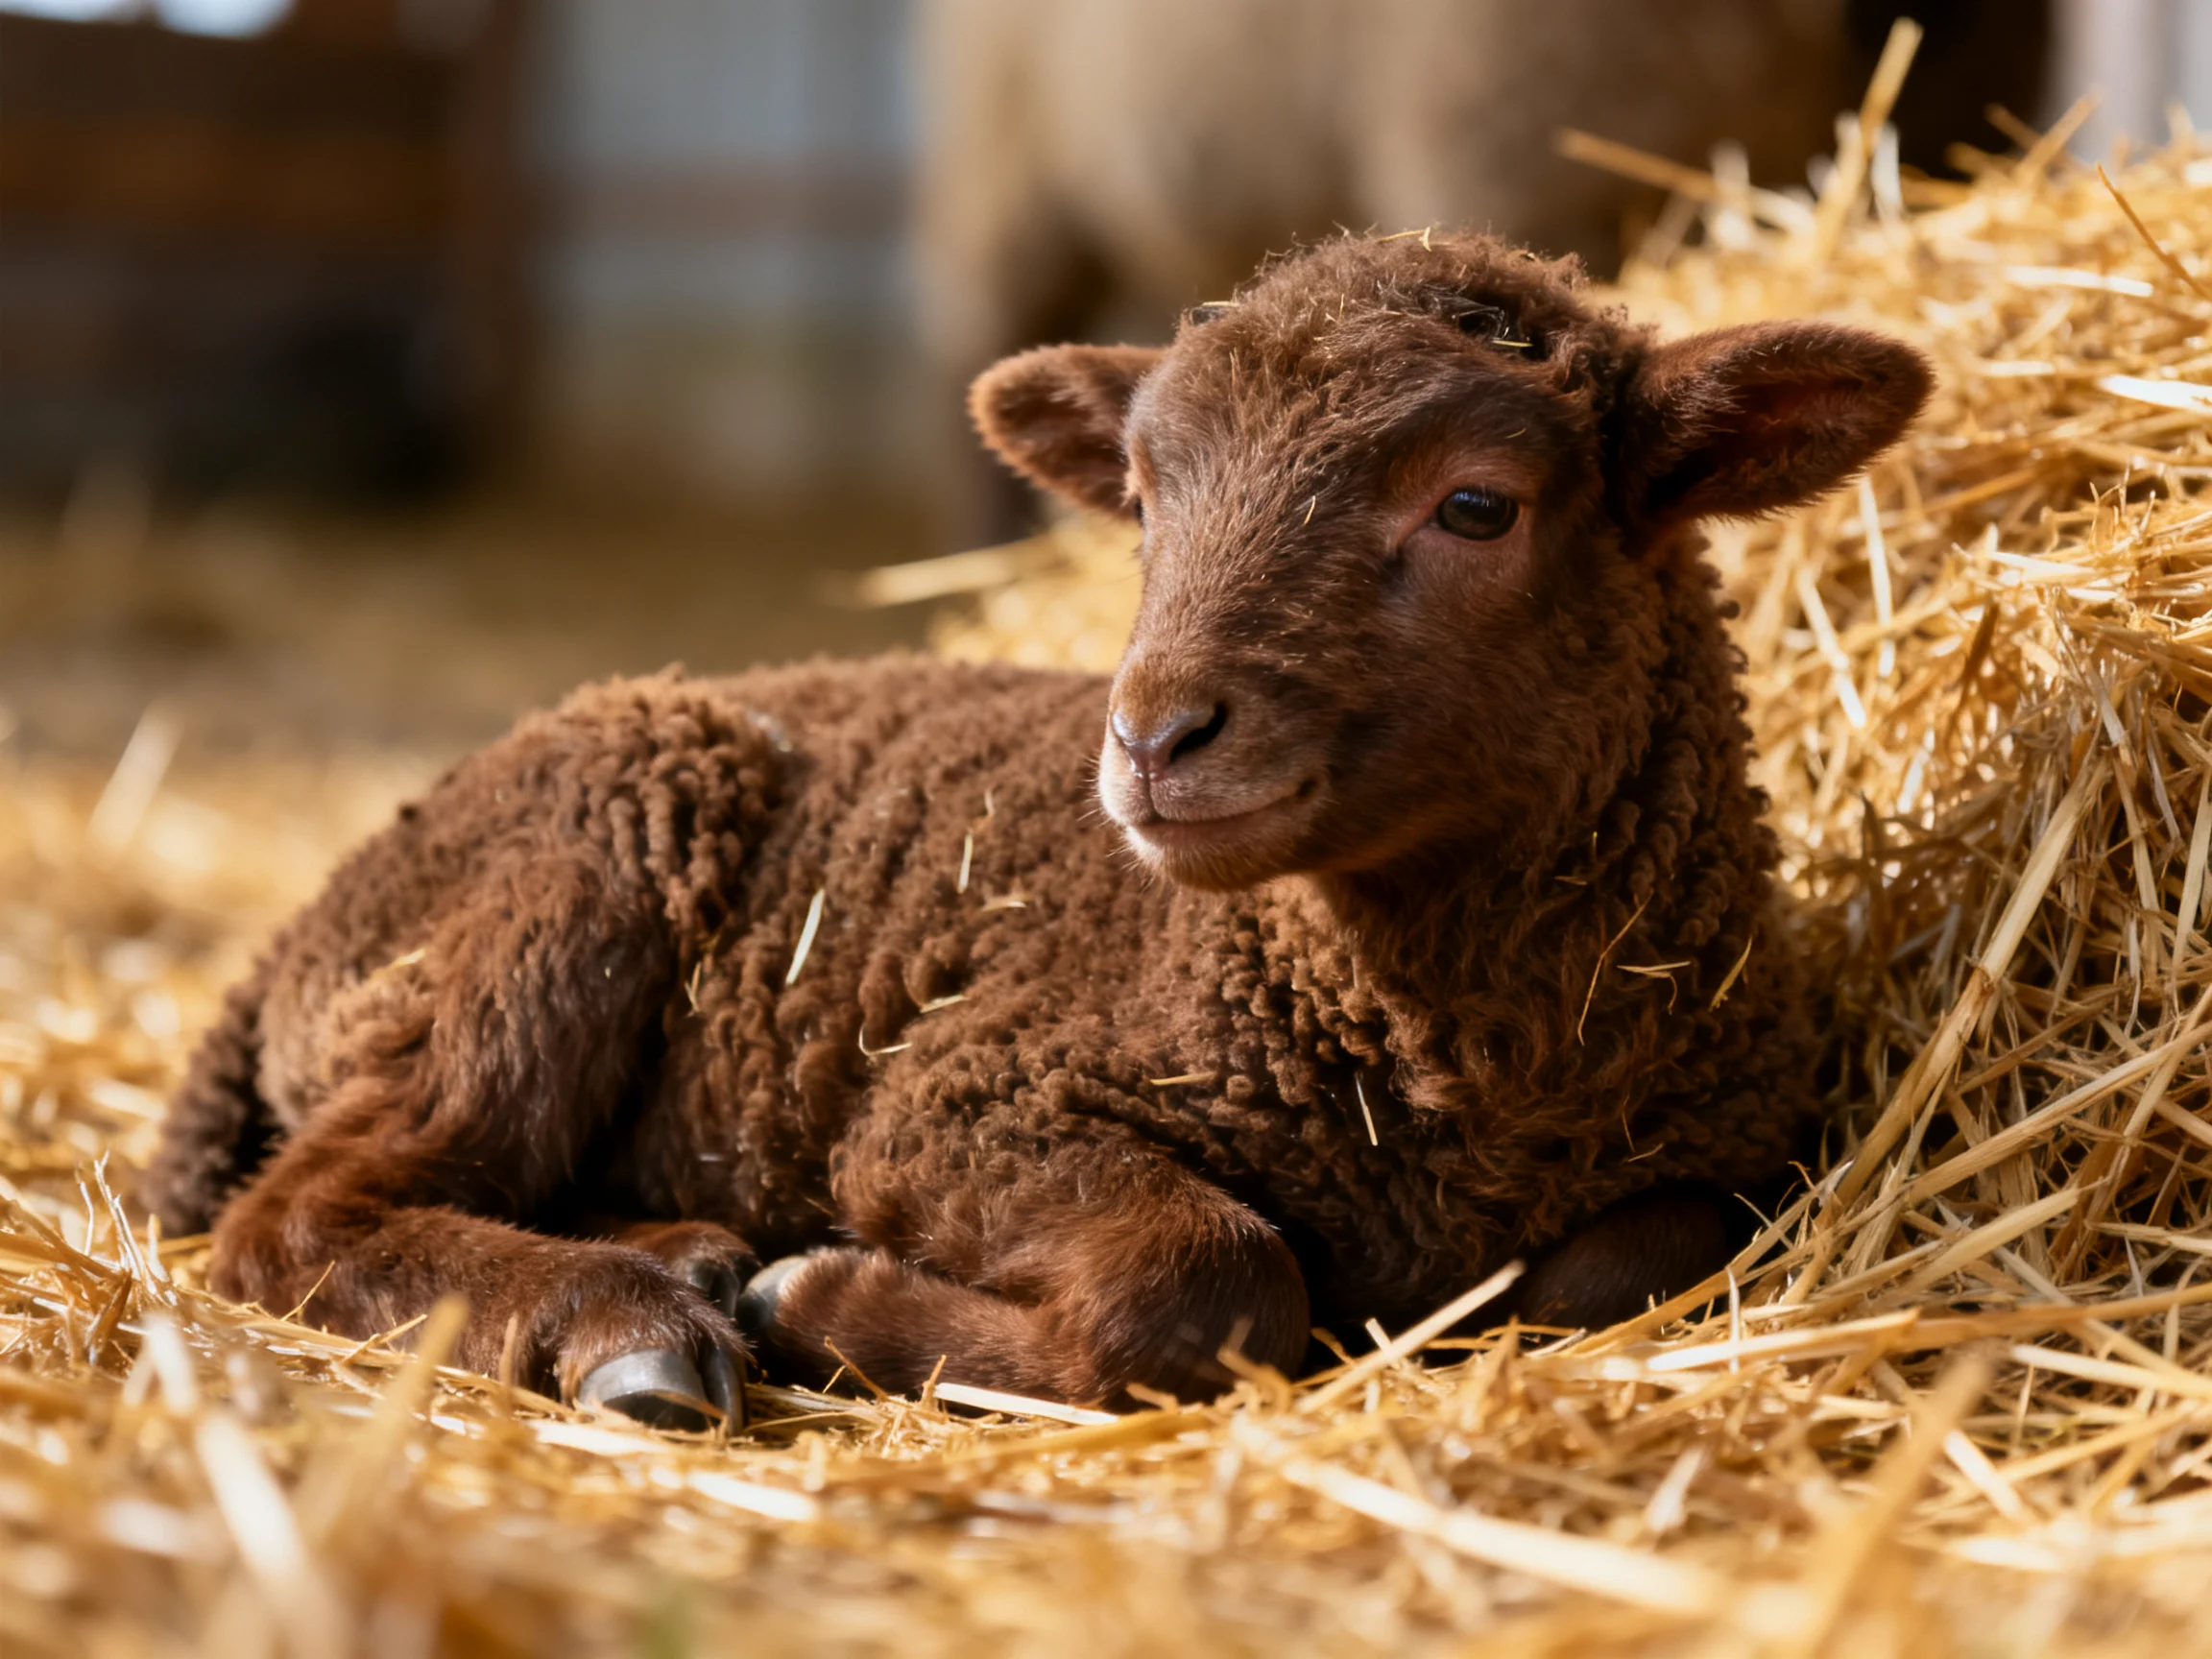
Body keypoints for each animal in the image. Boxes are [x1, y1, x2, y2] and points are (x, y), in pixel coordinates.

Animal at [143, 231, 1930, 1421]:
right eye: (1141, 503)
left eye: (1476, 504)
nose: (1152, 737)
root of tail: (301, 930)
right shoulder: (962, 1091)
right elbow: (1209, 1281)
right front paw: (829, 1295)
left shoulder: (1727, 1146)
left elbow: (1634, 1265)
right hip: (571, 870)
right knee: (305, 1211)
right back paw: (633, 1320)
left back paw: (687, 1257)